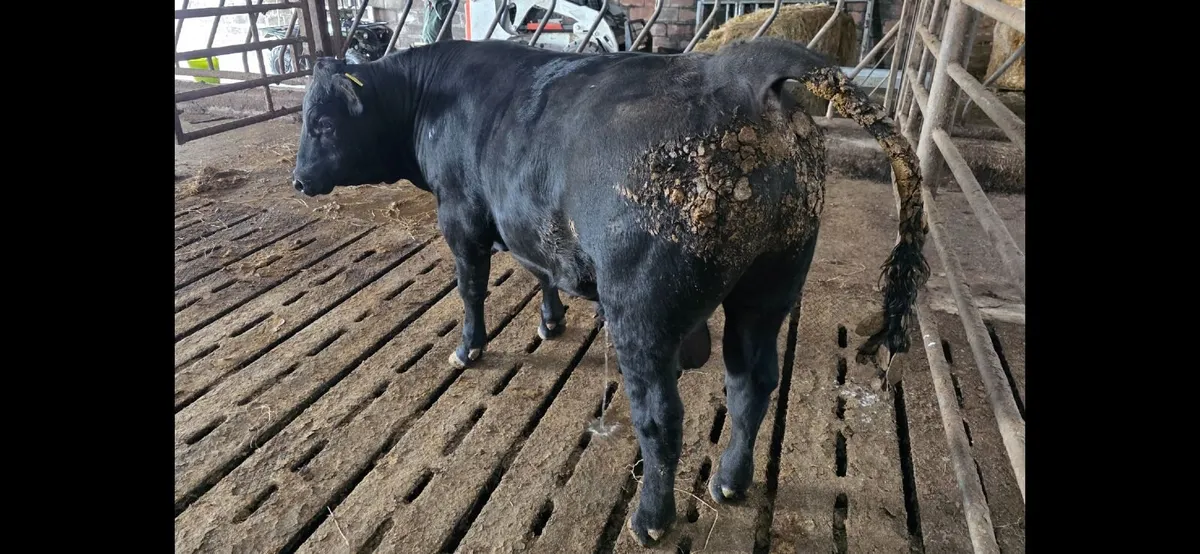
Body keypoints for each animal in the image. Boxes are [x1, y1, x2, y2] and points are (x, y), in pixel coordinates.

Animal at [290, 36, 929, 547]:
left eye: (323, 124)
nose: (298, 180)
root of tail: (740, 71)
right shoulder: (528, 220)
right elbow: (540, 269)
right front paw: (549, 321)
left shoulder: (462, 216)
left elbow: (470, 289)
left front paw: (468, 348)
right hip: (768, 291)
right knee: (752, 384)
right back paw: (730, 481)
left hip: (640, 314)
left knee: (661, 418)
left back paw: (651, 519)